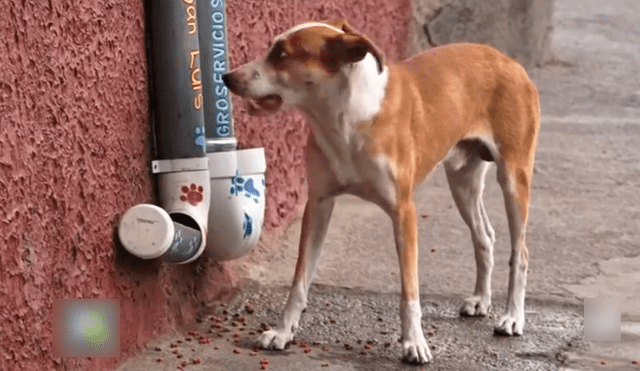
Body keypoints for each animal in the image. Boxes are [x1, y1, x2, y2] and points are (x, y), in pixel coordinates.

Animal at [222, 18, 536, 364]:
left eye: (281, 54)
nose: (227, 77)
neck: (343, 121)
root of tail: (508, 60)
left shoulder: (404, 212)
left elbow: (409, 291)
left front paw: (414, 342)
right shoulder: (318, 205)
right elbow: (300, 280)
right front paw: (283, 332)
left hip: (513, 178)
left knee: (520, 252)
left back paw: (512, 318)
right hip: (462, 181)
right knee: (484, 237)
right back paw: (481, 299)